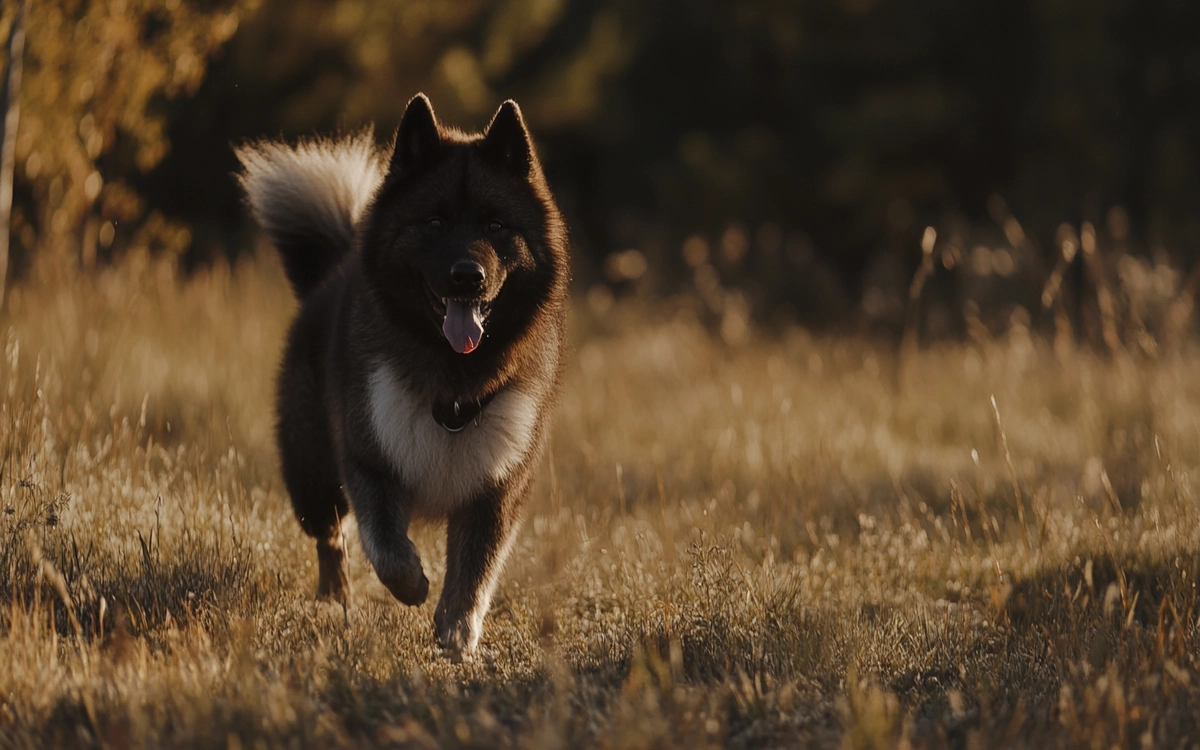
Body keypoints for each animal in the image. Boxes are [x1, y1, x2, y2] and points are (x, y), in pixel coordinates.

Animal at [238, 93, 571, 652]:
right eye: (434, 223)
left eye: (496, 225)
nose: (467, 277)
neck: (454, 385)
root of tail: (331, 271)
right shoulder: (369, 462)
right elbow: (387, 548)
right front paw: (413, 585)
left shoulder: (495, 489)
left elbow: (475, 568)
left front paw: (458, 629)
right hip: (312, 476)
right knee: (331, 538)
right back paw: (334, 599)